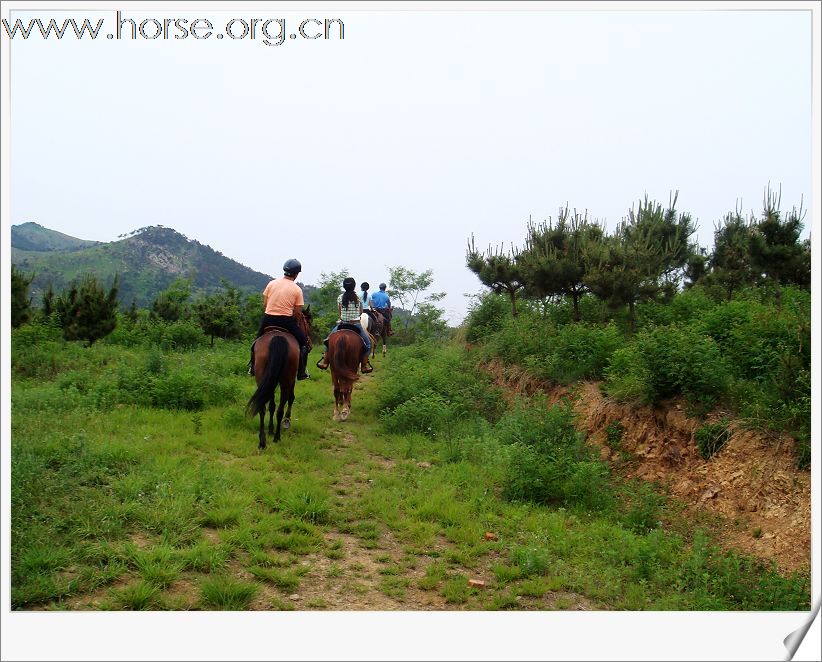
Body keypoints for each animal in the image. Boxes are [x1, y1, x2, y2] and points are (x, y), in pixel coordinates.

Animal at [246, 308, 314, 448]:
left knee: (263, 407)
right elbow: (291, 398)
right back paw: (277, 436)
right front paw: (286, 421)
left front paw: (270, 429)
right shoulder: (292, 379)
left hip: (262, 378)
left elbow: (271, 405)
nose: (310, 344)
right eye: (308, 323)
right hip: (286, 380)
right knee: (281, 407)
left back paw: (262, 441)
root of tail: (277, 337)